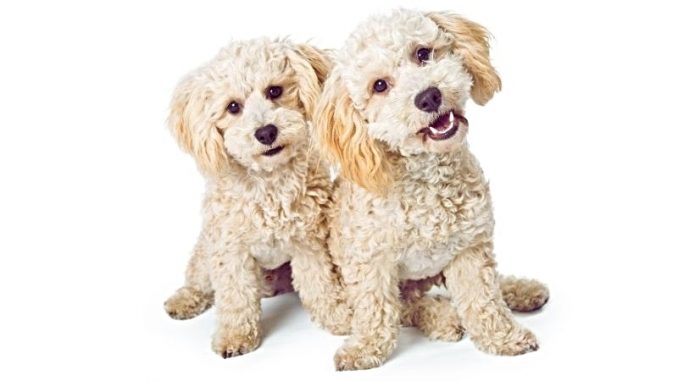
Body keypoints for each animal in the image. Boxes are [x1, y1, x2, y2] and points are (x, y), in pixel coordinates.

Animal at [316, 10, 548, 370]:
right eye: (379, 85)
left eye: (423, 54)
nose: (428, 96)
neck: (427, 181)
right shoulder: (370, 262)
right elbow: (375, 311)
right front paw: (365, 348)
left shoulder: (470, 248)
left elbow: (484, 300)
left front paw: (504, 337)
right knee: (407, 306)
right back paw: (444, 318)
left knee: (490, 282)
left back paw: (521, 290)